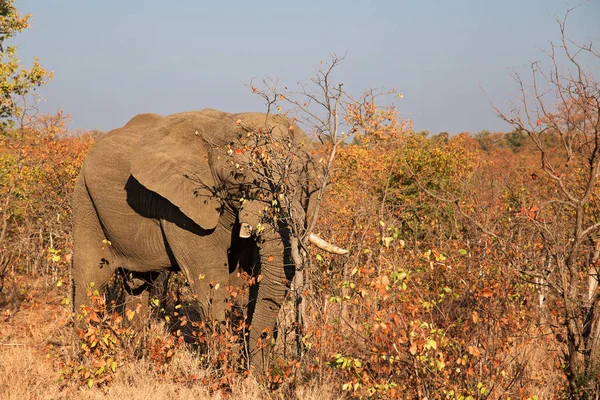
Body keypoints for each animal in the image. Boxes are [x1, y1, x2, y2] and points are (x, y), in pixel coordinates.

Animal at [72, 108, 346, 368]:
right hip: (86, 201)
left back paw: (135, 349)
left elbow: (241, 277)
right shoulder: (179, 205)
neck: (222, 126)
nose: (261, 374)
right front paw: (226, 368)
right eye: (239, 177)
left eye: (305, 180)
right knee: (90, 277)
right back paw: (85, 355)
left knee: (139, 284)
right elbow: (211, 276)